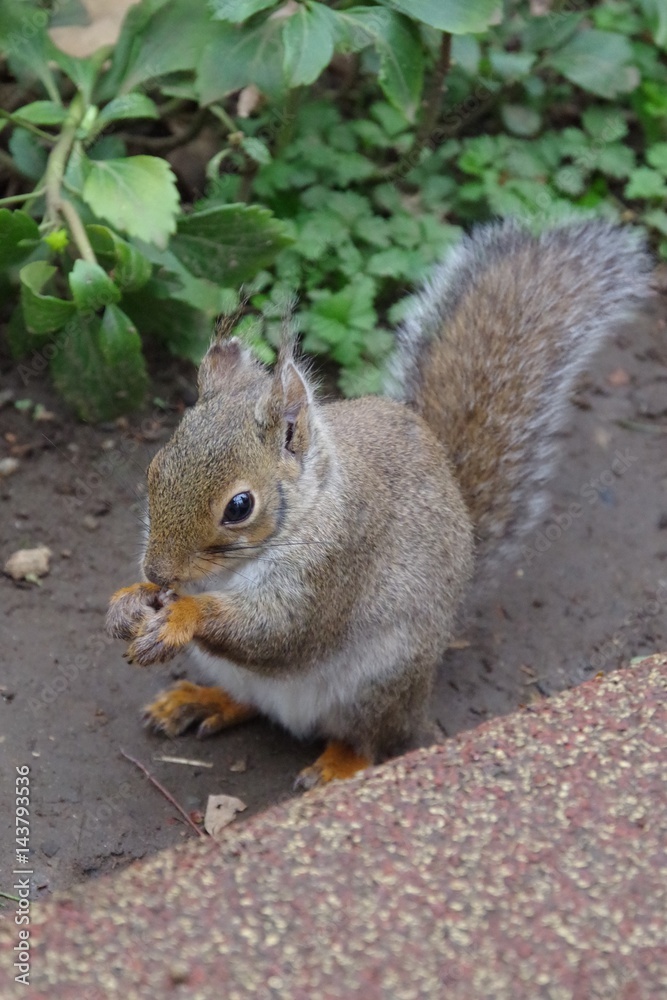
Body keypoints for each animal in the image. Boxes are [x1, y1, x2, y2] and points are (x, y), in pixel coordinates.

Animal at [106, 218, 651, 789]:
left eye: (239, 506)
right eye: (155, 468)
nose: (158, 570)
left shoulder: (338, 564)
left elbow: (279, 634)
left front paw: (181, 614)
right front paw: (129, 600)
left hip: (380, 681)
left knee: (372, 740)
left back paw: (337, 766)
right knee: (252, 700)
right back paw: (201, 701)